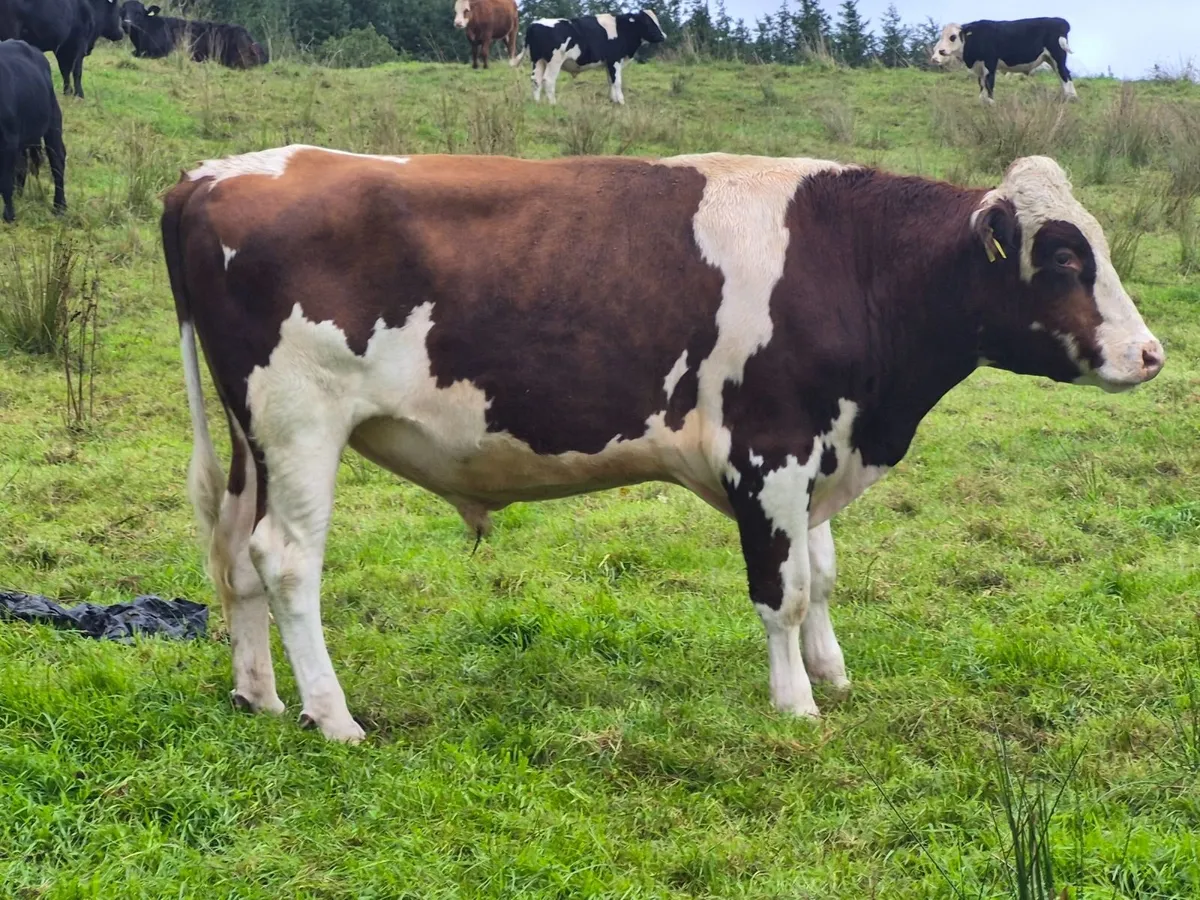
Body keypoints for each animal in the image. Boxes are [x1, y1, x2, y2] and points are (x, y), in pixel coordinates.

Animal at [0, 40, 67, 223]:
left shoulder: (8, 141)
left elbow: (5, 181)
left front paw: (9, 216)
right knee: (22, 164)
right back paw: (19, 196)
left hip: (53, 122)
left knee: (57, 160)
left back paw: (60, 207)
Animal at [161, 146, 1164, 742]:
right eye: (1064, 258)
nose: (1150, 353)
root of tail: (210, 175)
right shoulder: (770, 450)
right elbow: (784, 593)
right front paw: (795, 703)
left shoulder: (821, 450)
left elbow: (824, 572)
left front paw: (833, 674)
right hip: (300, 421)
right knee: (287, 561)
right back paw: (333, 718)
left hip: (254, 438)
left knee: (236, 555)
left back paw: (259, 693)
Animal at [512, 10, 665, 104]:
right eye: (647, 22)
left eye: (656, 20)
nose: (663, 36)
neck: (621, 29)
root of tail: (534, 24)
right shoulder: (614, 60)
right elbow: (617, 81)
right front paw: (621, 101)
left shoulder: (608, 63)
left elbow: (610, 81)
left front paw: (613, 101)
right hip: (554, 61)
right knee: (548, 80)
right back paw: (553, 104)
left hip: (538, 60)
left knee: (535, 79)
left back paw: (537, 102)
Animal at [931, 18, 1076, 103]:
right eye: (942, 36)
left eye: (953, 37)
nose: (941, 51)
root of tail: (1061, 21)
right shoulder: (979, 66)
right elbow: (981, 83)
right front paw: (982, 100)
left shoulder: (990, 62)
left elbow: (989, 82)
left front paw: (990, 102)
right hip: (1050, 58)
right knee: (1061, 75)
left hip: (1058, 55)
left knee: (1065, 74)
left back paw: (1071, 97)